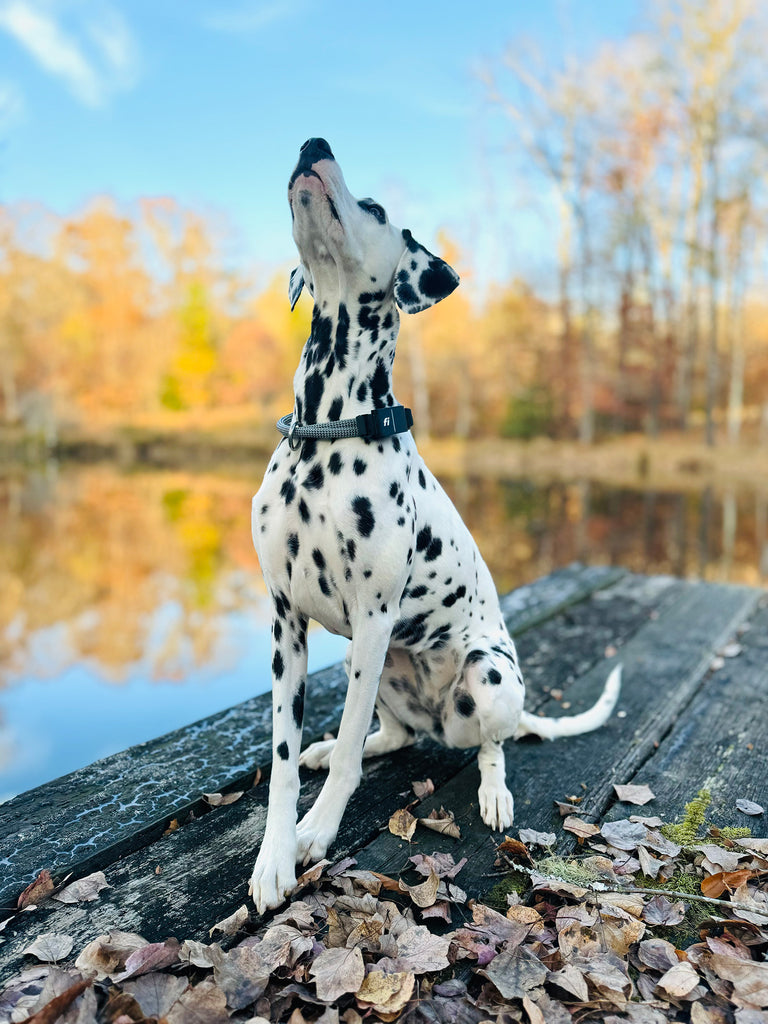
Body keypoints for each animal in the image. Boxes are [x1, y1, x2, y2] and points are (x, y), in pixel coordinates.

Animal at [249, 136, 622, 913]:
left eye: (374, 208)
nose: (313, 144)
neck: (328, 430)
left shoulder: (372, 615)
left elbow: (348, 758)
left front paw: (315, 833)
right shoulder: (284, 622)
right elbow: (285, 758)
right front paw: (274, 855)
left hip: (484, 671)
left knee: (491, 744)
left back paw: (494, 791)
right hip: (370, 664)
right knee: (385, 736)